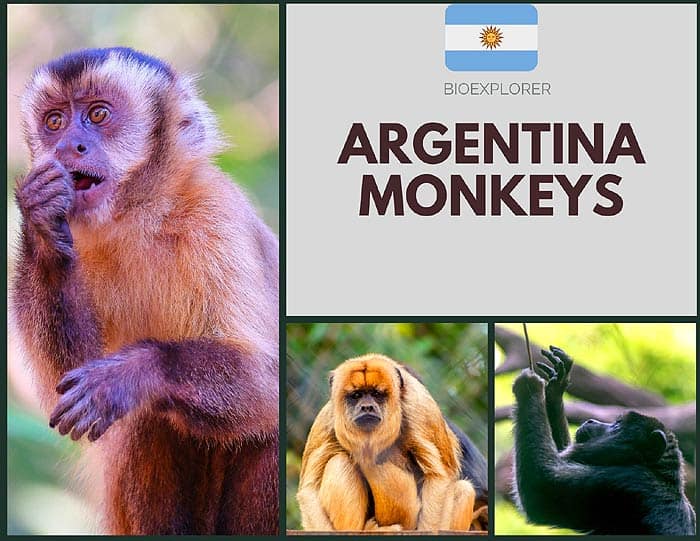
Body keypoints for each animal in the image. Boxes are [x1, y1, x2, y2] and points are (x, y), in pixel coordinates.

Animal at [10, 48, 279, 535]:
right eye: (55, 121)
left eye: (98, 115)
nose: (68, 145)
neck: (139, 216)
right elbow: (66, 380)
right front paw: (41, 222)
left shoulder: (218, 216)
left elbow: (267, 378)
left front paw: (130, 373)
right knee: (148, 420)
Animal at [296, 354, 487, 532]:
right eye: (356, 395)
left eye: (376, 394)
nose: (367, 407)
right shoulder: (327, 418)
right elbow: (308, 490)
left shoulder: (421, 409)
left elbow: (440, 477)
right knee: (339, 462)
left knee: (463, 489)